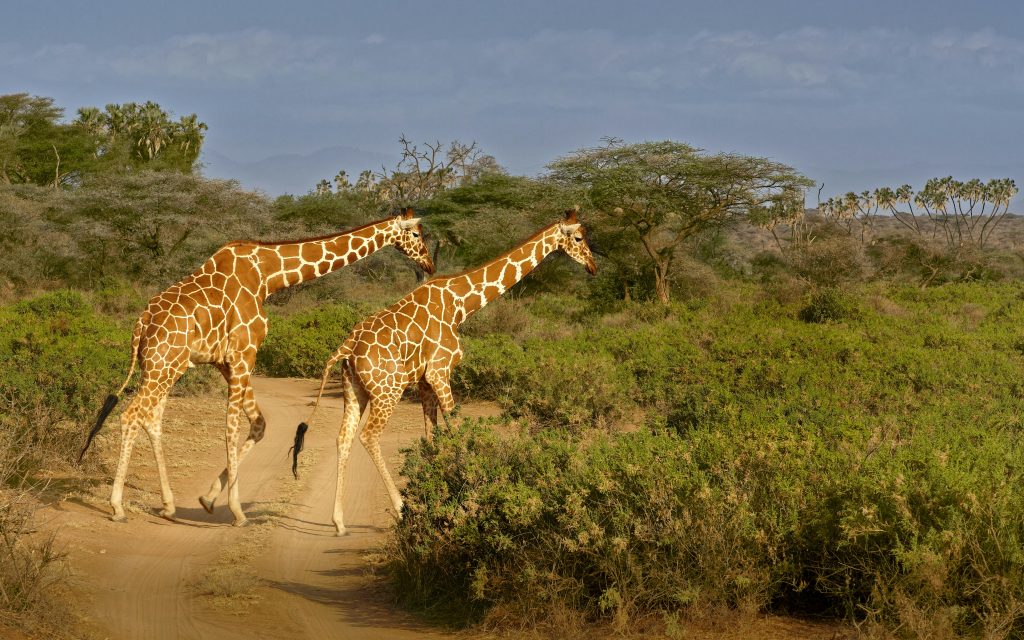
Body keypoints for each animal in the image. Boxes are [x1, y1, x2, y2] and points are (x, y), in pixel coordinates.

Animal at [78, 208, 435, 526]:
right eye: (417, 234)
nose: (429, 265)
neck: (268, 276)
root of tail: (141, 324)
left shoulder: (226, 361)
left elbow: (259, 424)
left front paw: (209, 498)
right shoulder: (243, 354)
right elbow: (231, 428)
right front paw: (237, 511)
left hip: (163, 368)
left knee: (151, 418)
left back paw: (167, 506)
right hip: (163, 366)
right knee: (131, 416)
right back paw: (117, 507)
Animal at [293, 208, 597, 535]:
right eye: (579, 238)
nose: (593, 267)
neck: (461, 304)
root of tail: (347, 347)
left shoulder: (424, 381)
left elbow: (431, 435)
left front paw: (434, 492)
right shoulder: (440, 370)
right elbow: (456, 429)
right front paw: (470, 496)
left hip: (354, 390)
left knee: (344, 438)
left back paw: (339, 522)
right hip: (388, 390)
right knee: (369, 436)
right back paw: (401, 508)